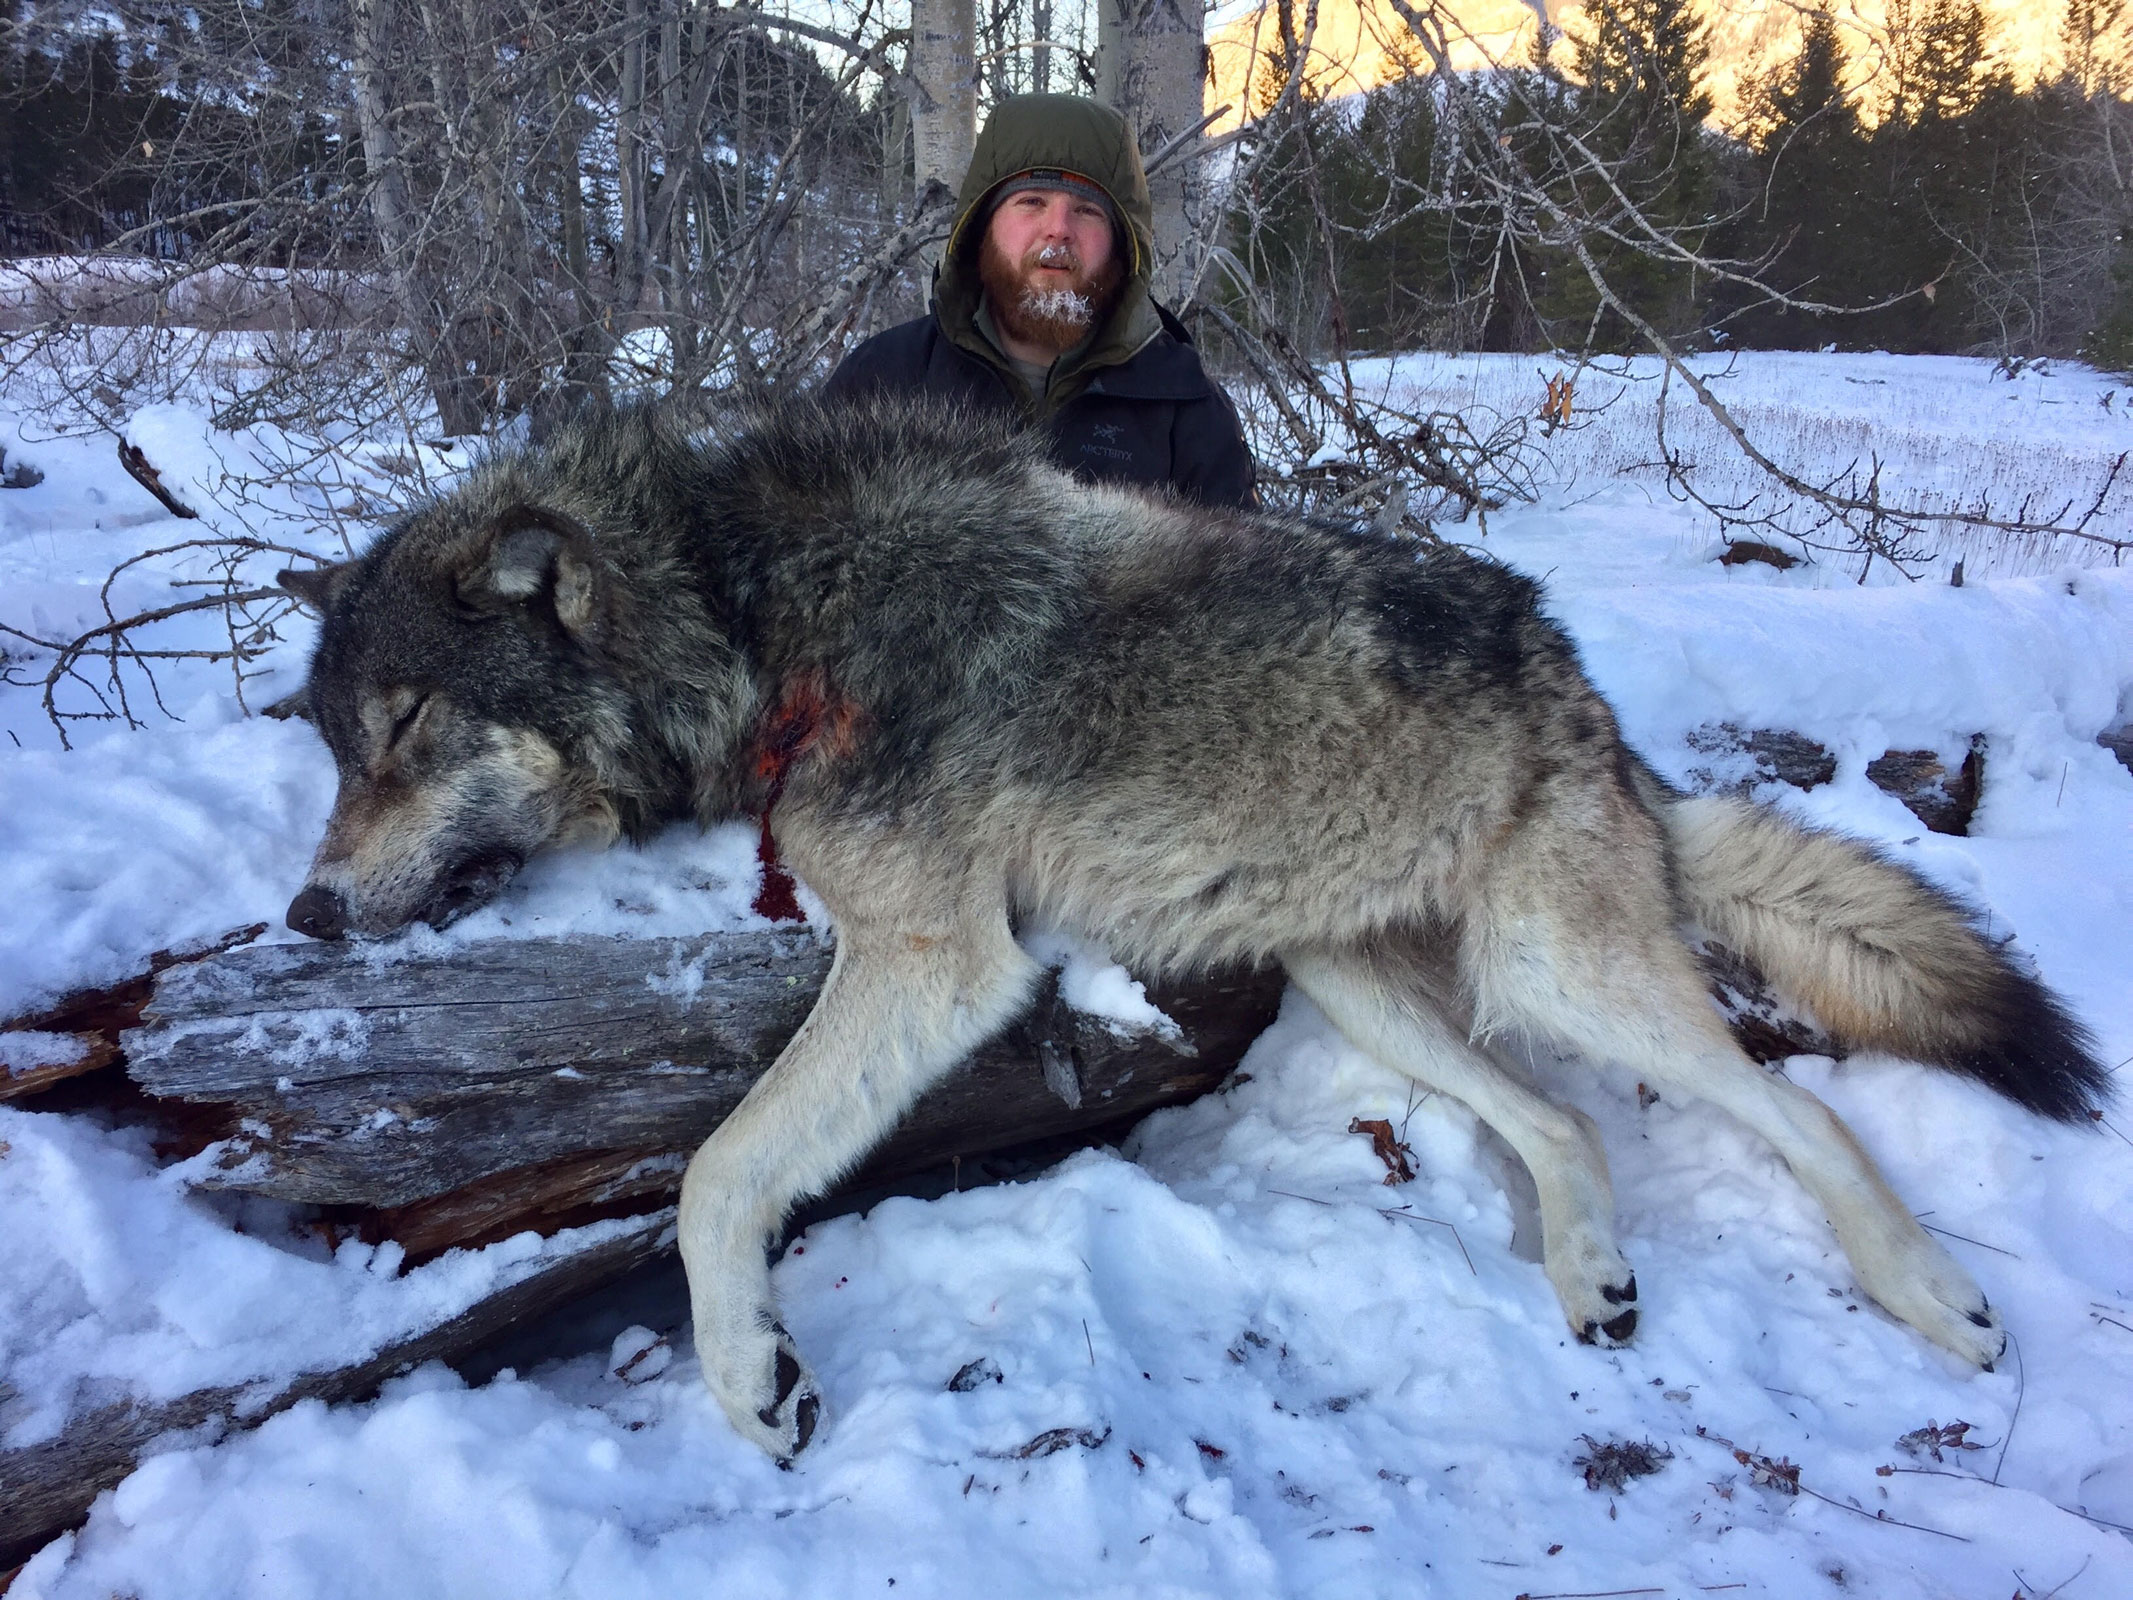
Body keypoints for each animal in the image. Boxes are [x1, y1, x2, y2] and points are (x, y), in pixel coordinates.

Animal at [278, 400, 2107, 1461]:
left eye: (405, 729)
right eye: (333, 745)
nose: (304, 907)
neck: (746, 609)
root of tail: (1581, 683)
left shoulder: (938, 961)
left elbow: (717, 1173)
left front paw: (752, 1382)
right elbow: (727, 1166)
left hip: (1558, 969)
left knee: (1795, 1113)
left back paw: (1933, 1300)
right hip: (1363, 988)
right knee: (1564, 1128)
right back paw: (1591, 1281)